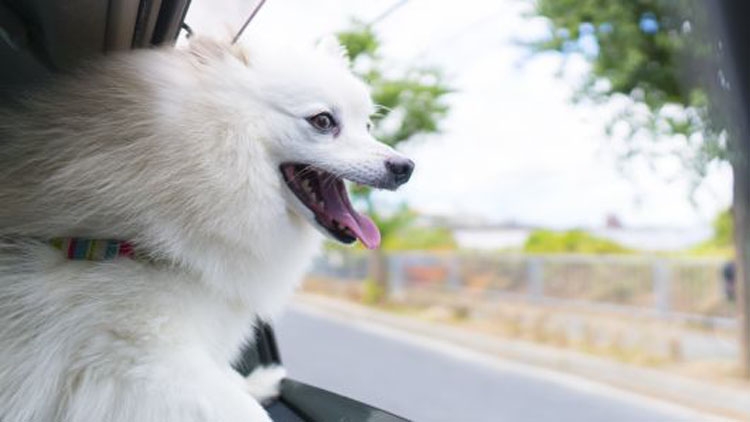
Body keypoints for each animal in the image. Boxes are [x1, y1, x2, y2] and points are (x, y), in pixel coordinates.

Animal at [0, 33, 414, 422]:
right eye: (323, 121)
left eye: (368, 125)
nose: (405, 166)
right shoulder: (134, 355)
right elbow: (242, 410)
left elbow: (232, 381)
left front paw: (260, 382)